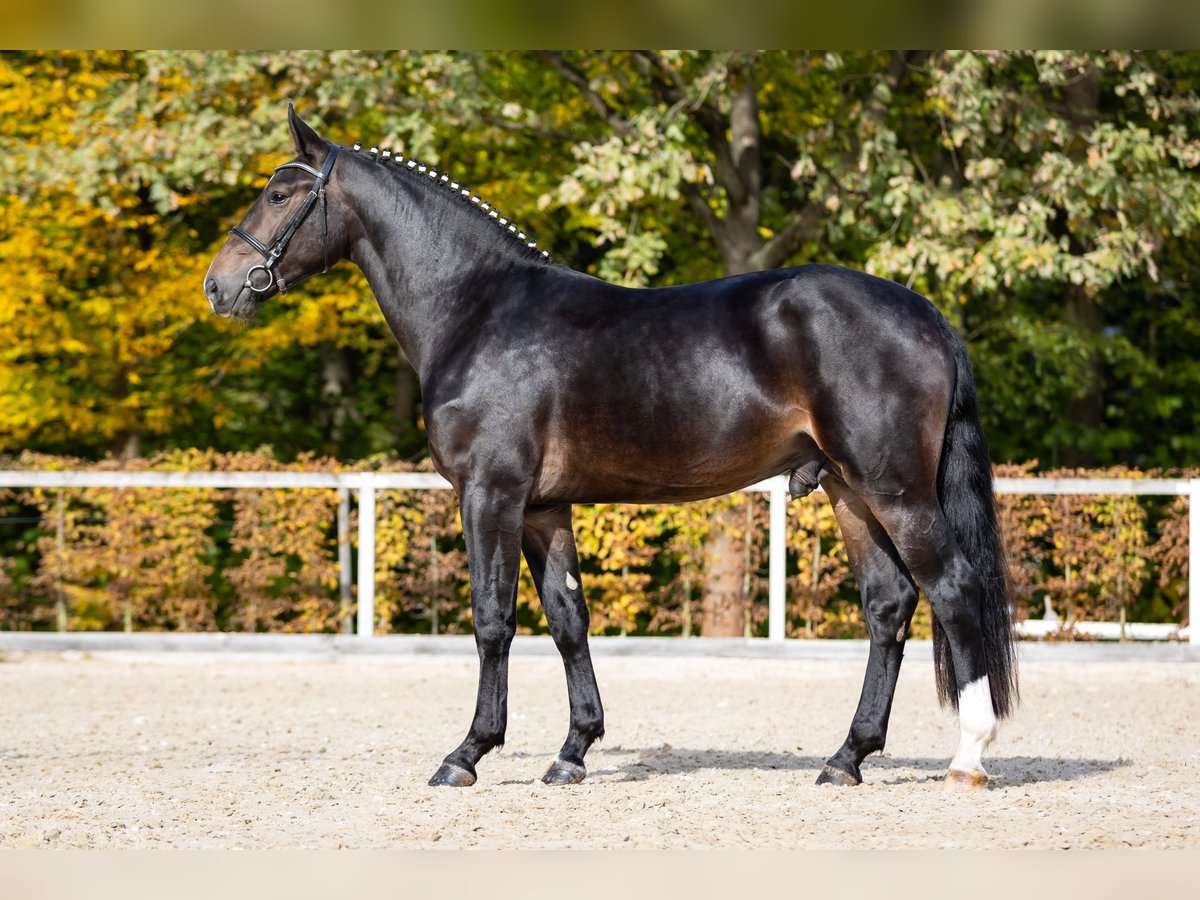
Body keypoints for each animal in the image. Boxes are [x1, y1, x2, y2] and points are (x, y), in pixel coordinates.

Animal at [204, 107, 1012, 787]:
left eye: (280, 193)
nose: (219, 286)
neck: (476, 310)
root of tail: (925, 312)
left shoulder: (490, 494)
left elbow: (492, 620)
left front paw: (467, 754)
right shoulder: (542, 509)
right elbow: (568, 620)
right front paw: (572, 752)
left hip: (895, 489)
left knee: (952, 588)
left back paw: (967, 756)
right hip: (850, 490)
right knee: (888, 606)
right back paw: (846, 758)